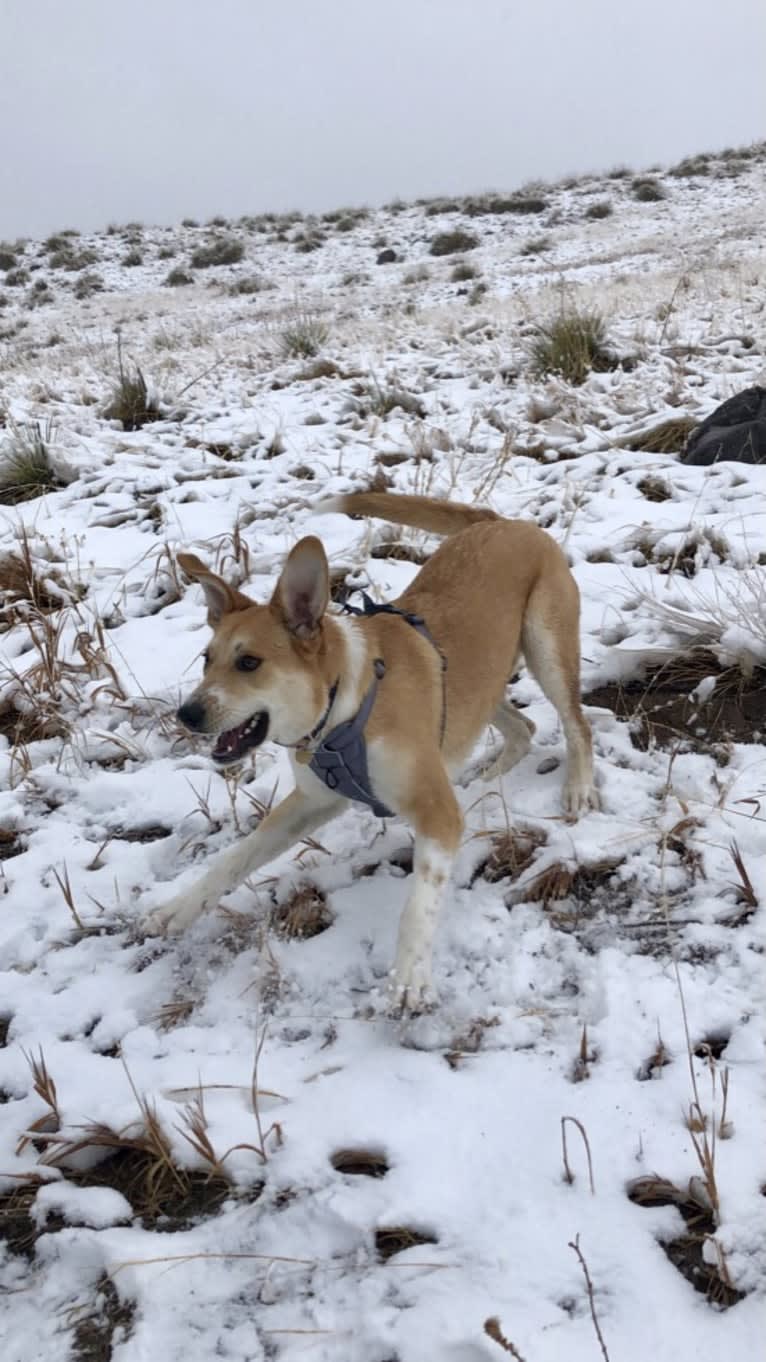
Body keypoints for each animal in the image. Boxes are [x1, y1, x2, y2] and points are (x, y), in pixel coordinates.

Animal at [143, 493, 596, 1013]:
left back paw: (579, 787)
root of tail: (504, 523)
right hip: (481, 683)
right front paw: (178, 908)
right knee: (522, 728)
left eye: (249, 662)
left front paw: (409, 977)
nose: (187, 715)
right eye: (206, 660)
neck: (344, 702)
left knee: (577, 725)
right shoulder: (311, 802)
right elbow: (235, 857)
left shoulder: (436, 813)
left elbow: (418, 902)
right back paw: (485, 777)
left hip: (546, 647)